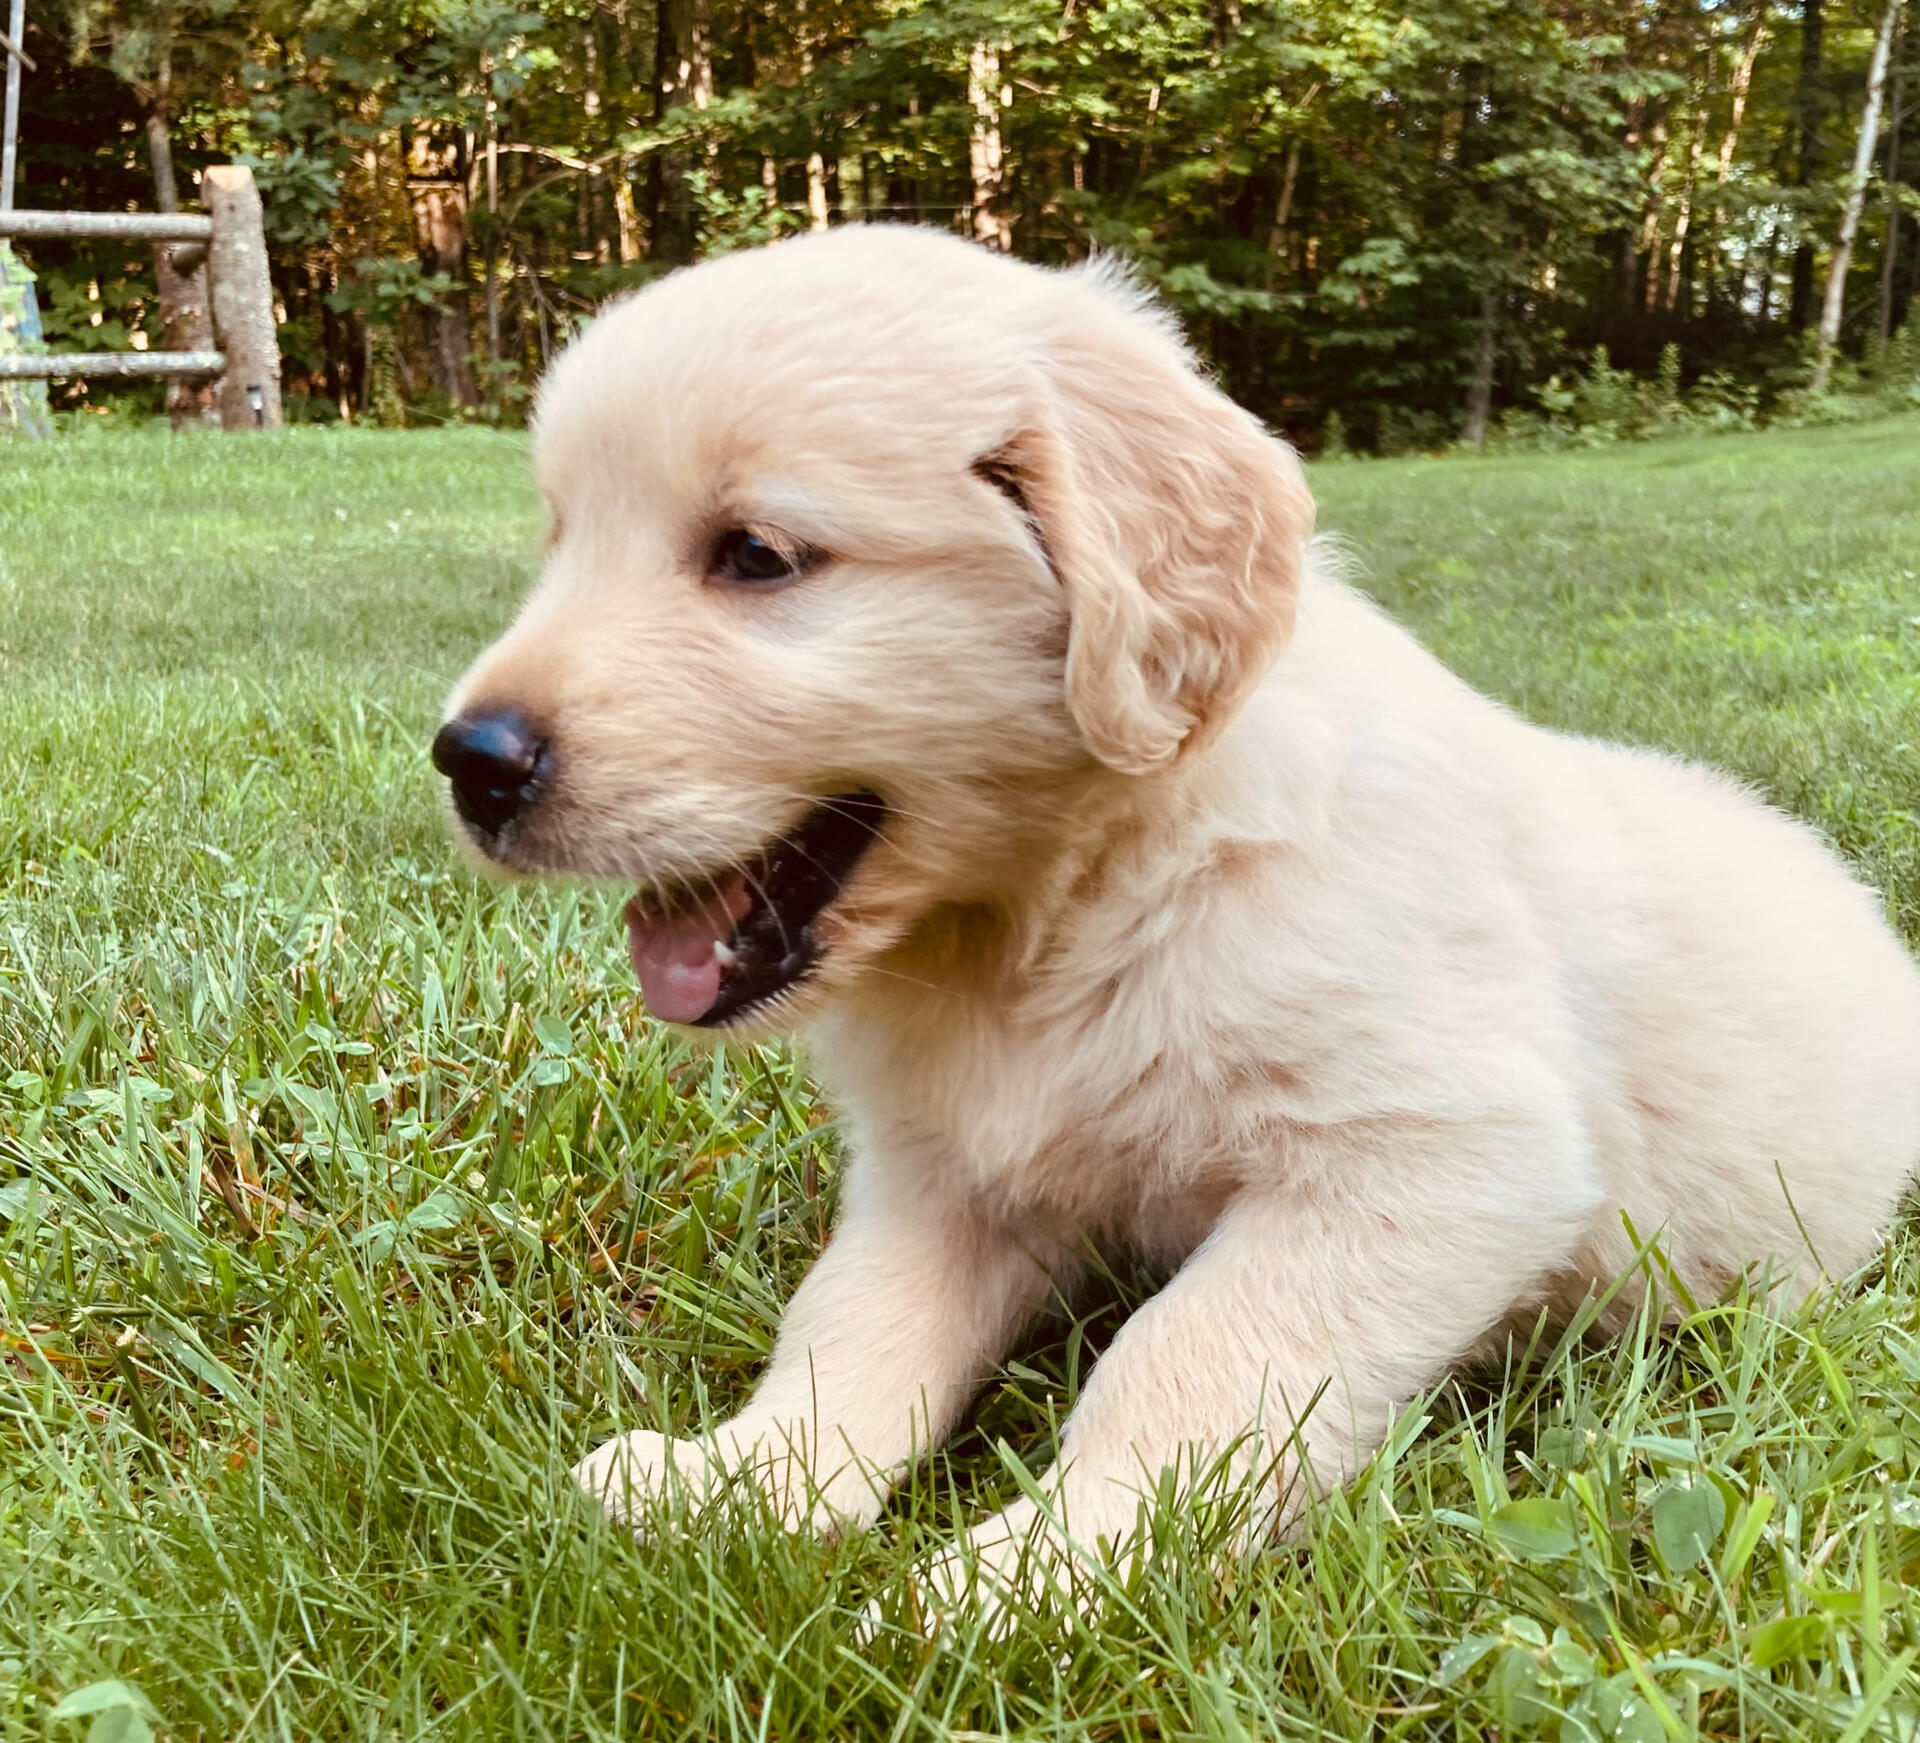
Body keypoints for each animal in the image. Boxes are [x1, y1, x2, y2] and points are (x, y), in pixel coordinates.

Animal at [433, 225, 1920, 1624]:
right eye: (561, 538)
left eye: (756, 556)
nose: (468, 760)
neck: (1067, 906)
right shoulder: (944, 1169)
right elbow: (851, 1320)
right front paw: (749, 1481)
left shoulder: (1431, 1154)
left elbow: (1189, 1357)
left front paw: (1030, 1574)